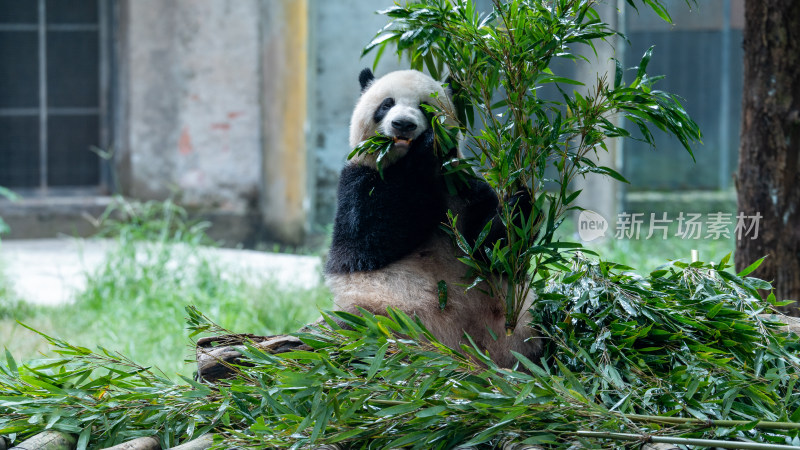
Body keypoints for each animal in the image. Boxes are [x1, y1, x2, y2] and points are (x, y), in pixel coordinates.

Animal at [322, 68, 540, 368]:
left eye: (424, 106)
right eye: (386, 104)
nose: (403, 124)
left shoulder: (464, 187)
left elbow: (492, 249)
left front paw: (520, 202)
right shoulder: (357, 182)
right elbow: (371, 235)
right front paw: (425, 151)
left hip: (520, 325)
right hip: (375, 313)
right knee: (360, 333)